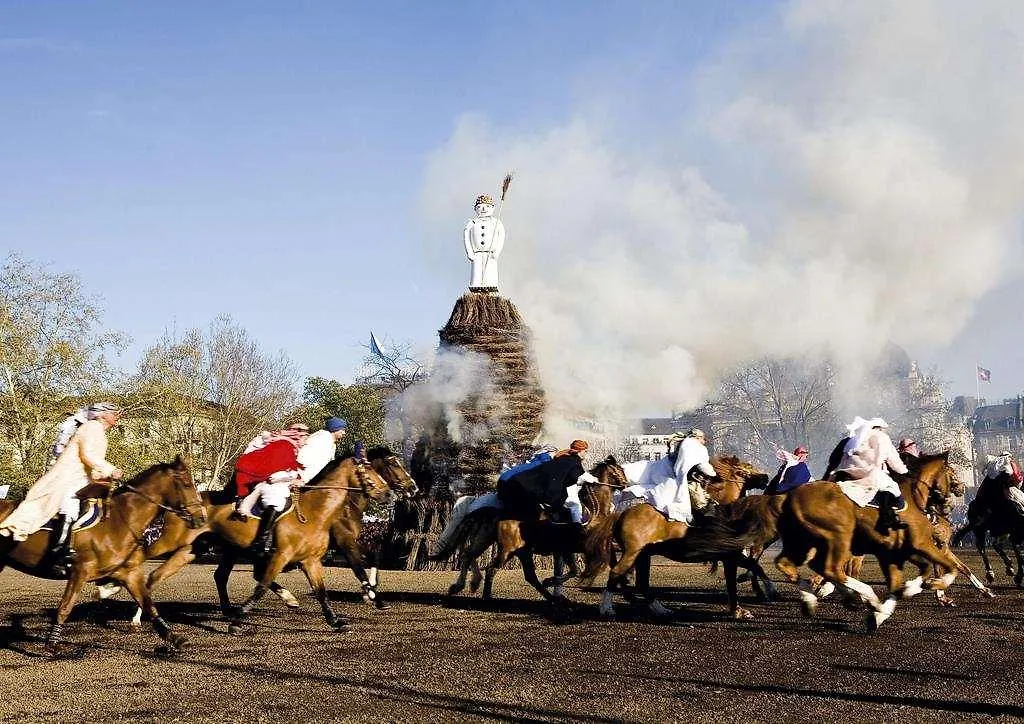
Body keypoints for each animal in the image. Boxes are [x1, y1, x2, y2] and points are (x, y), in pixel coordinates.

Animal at [0, 458, 205, 655]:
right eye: (187, 483)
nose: (201, 518)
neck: (120, 521)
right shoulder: (80, 571)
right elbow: (65, 607)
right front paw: (52, 645)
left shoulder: (128, 573)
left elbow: (148, 604)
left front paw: (174, 638)